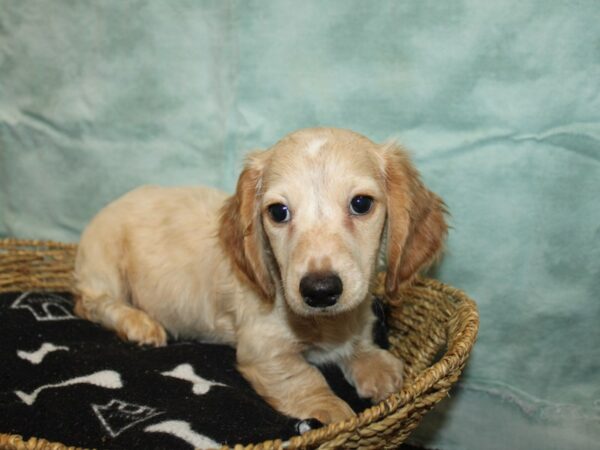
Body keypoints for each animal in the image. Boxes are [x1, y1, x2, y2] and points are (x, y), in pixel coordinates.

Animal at [74, 127, 446, 426]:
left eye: (361, 204)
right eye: (279, 212)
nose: (320, 290)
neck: (322, 323)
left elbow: (359, 340)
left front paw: (377, 366)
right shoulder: (263, 349)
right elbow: (303, 376)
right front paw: (332, 410)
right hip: (104, 265)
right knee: (91, 303)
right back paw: (139, 324)